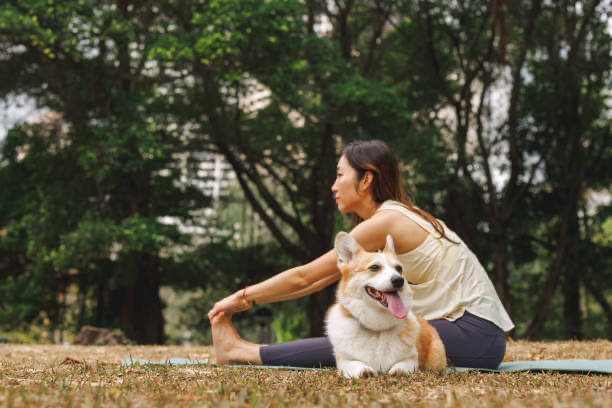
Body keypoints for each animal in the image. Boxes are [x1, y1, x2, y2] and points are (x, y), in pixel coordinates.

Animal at [326, 231, 444, 378]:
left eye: (399, 268)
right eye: (374, 267)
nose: (399, 280)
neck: (377, 329)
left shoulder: (411, 358)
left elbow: (404, 364)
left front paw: (399, 371)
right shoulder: (344, 360)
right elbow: (355, 363)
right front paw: (364, 370)